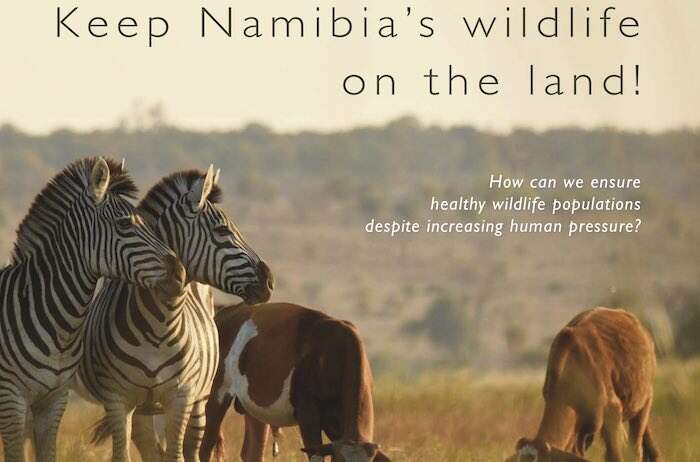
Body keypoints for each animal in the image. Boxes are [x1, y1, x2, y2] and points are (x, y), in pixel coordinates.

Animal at [76, 166, 274, 462]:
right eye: (221, 230)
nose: (269, 281)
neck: (158, 324)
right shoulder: (118, 400)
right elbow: (124, 454)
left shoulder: (180, 397)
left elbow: (177, 455)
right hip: (144, 411)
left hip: (200, 402)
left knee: (191, 449)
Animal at [199, 302, 391, 462]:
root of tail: (224, 313)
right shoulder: (308, 413)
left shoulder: (335, 425)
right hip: (216, 395)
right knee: (205, 448)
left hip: (254, 408)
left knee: (252, 453)